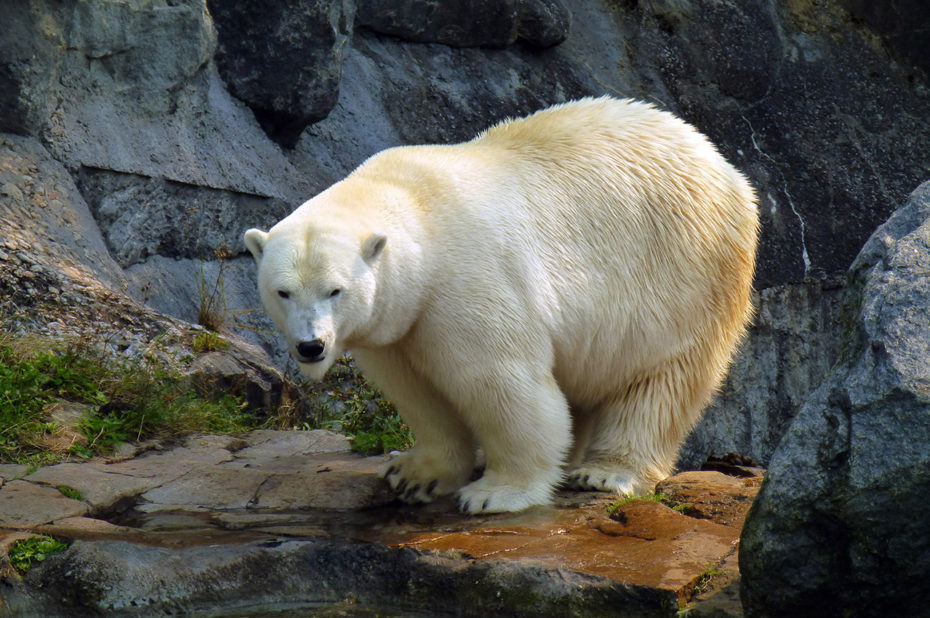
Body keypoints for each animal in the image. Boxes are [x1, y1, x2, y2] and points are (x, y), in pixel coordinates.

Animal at [243, 95, 756, 510]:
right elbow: (416, 391)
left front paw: (496, 493)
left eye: (336, 289)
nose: (311, 346)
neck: (417, 207)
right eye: (283, 291)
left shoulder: (466, 280)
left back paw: (606, 471)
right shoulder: (398, 324)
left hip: (682, 273)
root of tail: (724, 168)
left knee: (661, 375)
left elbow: (498, 382)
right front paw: (413, 474)